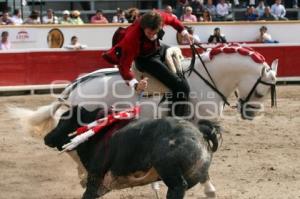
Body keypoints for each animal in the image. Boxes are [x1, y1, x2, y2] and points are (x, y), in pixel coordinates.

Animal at [44, 106, 220, 199]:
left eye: (63, 121)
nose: (47, 138)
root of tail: (199, 130)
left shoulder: (96, 175)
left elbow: (88, 193)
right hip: (195, 173)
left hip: (168, 170)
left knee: (177, 186)